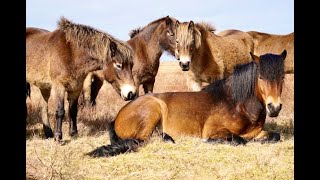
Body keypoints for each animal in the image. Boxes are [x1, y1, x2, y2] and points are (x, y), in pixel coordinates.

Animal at [87, 50, 288, 157]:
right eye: (261, 77)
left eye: (282, 77)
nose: (274, 107)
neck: (237, 104)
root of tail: (119, 114)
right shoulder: (215, 131)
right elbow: (238, 140)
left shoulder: (258, 132)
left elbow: (275, 136)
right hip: (153, 109)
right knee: (141, 141)